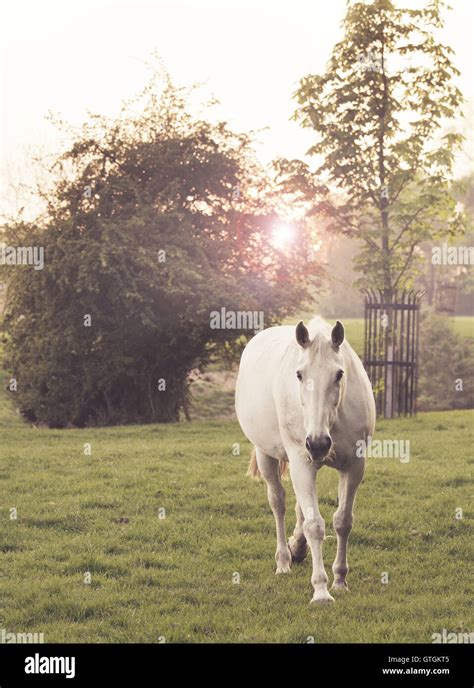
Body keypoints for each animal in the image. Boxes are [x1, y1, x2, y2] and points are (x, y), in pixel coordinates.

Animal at [235, 316, 376, 600]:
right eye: (299, 374)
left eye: (339, 374)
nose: (318, 443)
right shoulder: (302, 461)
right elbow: (315, 526)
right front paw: (321, 590)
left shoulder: (354, 466)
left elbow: (342, 521)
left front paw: (340, 579)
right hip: (267, 455)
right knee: (278, 502)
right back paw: (283, 561)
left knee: (300, 506)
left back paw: (298, 548)